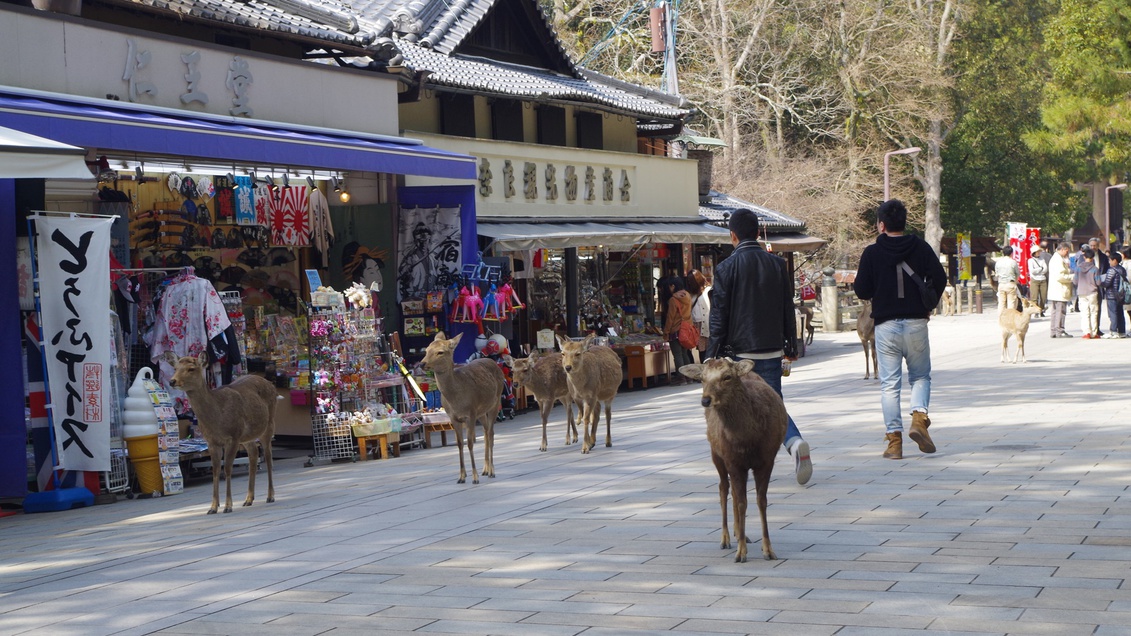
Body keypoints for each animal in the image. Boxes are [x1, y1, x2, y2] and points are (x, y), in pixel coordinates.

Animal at [165, 348, 277, 511]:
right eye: (175, 368)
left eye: (191, 369)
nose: (172, 381)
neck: (217, 418)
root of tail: (271, 385)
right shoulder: (212, 441)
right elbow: (216, 471)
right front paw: (213, 507)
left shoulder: (233, 436)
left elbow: (227, 469)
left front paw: (228, 506)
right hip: (247, 436)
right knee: (254, 455)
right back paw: (248, 499)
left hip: (268, 424)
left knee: (268, 456)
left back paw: (270, 496)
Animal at [420, 332, 504, 479]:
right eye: (427, 350)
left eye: (440, 352)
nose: (422, 363)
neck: (456, 400)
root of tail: (492, 361)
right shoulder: (453, 417)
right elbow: (459, 444)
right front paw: (462, 477)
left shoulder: (470, 413)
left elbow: (469, 443)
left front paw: (474, 477)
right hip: (481, 412)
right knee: (486, 431)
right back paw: (485, 469)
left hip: (496, 401)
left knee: (491, 433)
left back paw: (492, 471)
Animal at [678, 357, 787, 559]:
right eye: (702, 378)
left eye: (727, 377)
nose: (706, 400)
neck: (747, 440)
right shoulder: (732, 460)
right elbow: (743, 502)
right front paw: (741, 553)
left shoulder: (767, 459)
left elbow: (761, 501)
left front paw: (768, 550)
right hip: (716, 453)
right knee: (723, 488)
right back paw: (726, 539)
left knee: (734, 493)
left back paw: (739, 534)